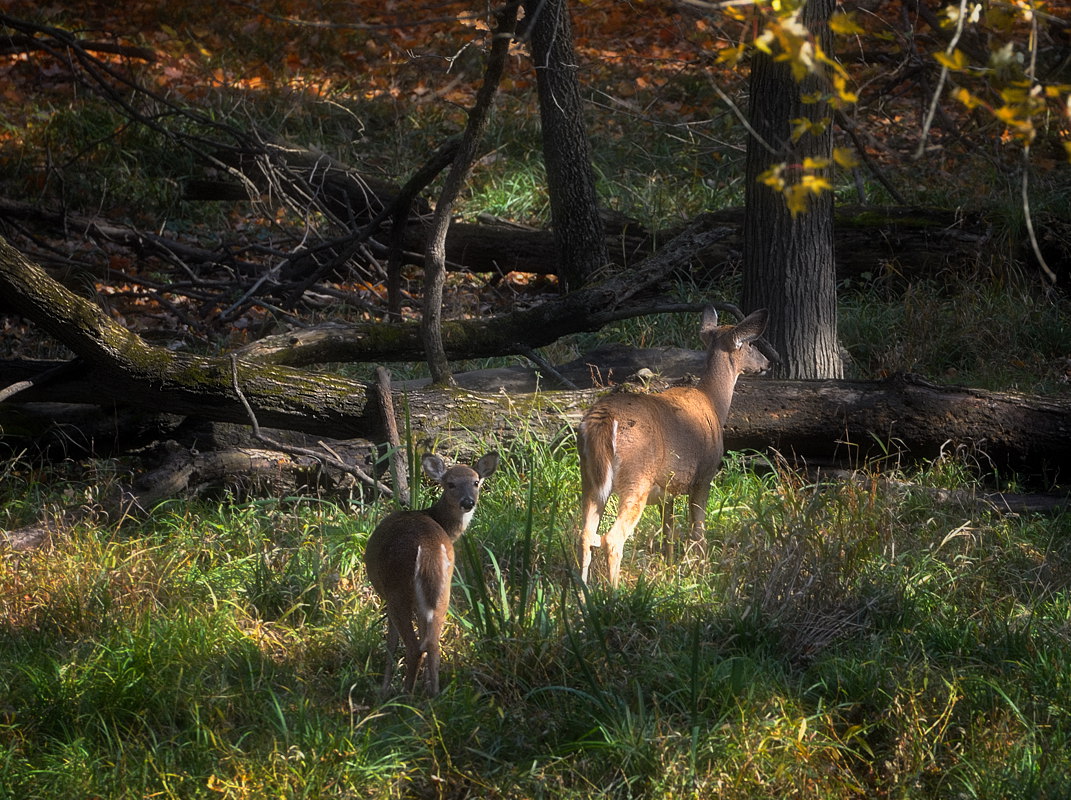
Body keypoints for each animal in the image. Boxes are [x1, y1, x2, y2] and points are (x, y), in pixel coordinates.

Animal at [366, 454, 499, 698]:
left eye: (476, 482)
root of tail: (427, 548)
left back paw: (403, 696)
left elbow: (391, 642)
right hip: (442, 590)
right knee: (432, 643)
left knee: (414, 646)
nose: (468, 502)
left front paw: (385, 687)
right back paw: (434, 695)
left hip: (397, 589)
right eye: (451, 484)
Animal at [578, 306, 771, 586]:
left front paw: (669, 570)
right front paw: (702, 574)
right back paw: (613, 593)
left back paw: (582, 590)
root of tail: (604, 420)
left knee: (584, 535)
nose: (768, 363)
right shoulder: (704, 475)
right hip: (637, 477)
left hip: (590, 477)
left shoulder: (668, 487)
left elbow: (668, 531)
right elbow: (697, 530)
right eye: (751, 344)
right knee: (612, 539)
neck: (713, 403)